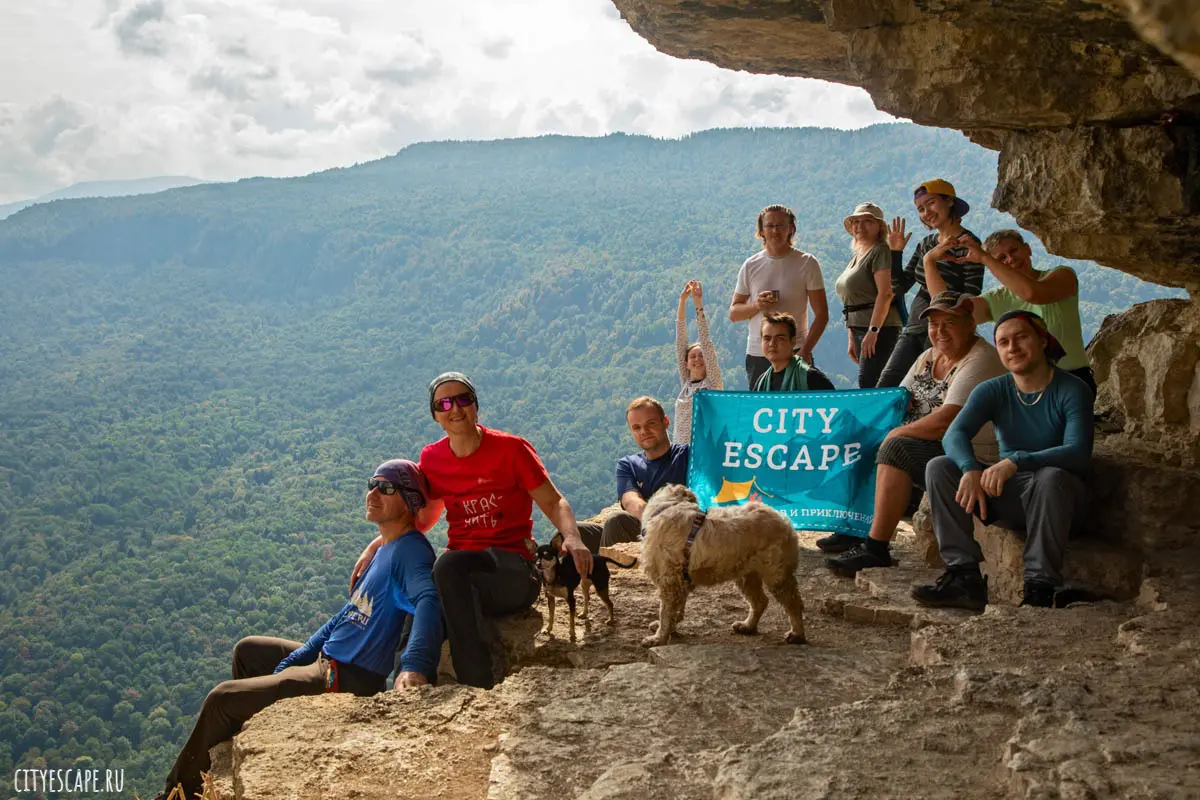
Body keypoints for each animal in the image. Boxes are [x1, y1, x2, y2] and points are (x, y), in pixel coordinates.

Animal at [638, 482, 806, 652]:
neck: (667, 506)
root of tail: (785, 521)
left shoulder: (670, 582)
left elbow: (666, 614)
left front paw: (658, 638)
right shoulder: (681, 580)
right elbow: (676, 610)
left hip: (776, 576)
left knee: (794, 603)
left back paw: (797, 634)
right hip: (747, 575)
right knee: (760, 601)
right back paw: (748, 626)